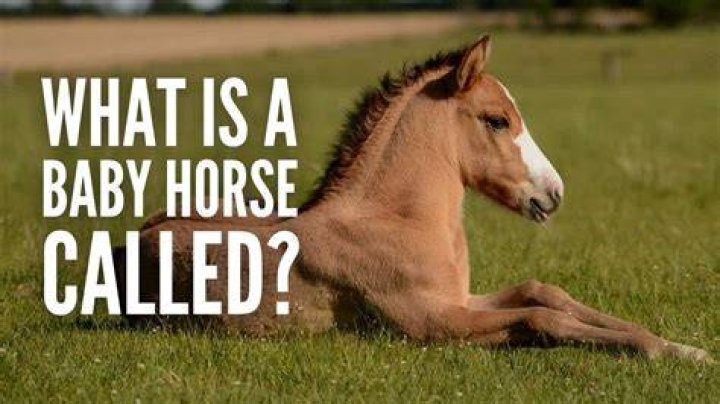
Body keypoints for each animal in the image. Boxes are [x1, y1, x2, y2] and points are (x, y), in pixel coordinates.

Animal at [116, 35, 711, 362]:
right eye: (497, 120)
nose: (554, 193)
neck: (398, 221)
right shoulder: (432, 322)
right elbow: (542, 319)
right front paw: (663, 352)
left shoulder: (459, 299)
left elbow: (544, 292)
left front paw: (683, 346)